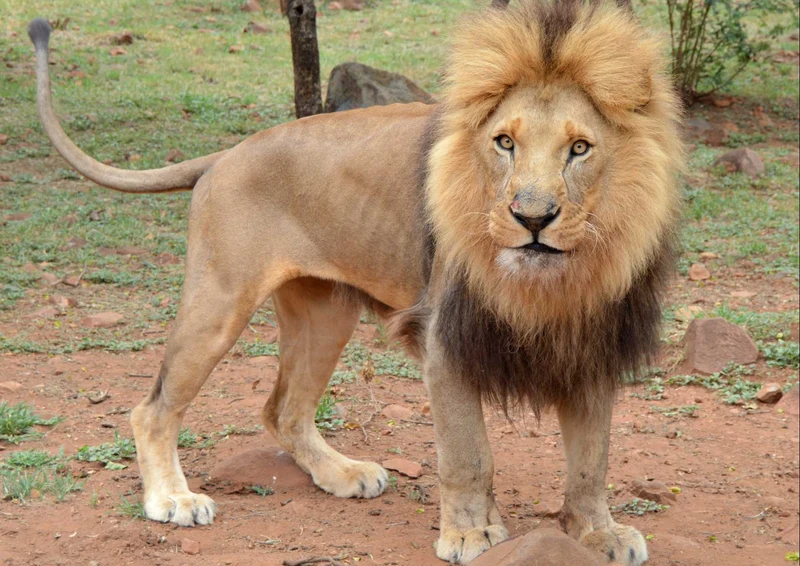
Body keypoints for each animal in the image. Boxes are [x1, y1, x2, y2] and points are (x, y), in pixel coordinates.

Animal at [27, 1, 682, 564]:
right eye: (504, 143)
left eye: (580, 148)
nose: (533, 218)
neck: (557, 282)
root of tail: (226, 154)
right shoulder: (445, 344)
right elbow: (468, 456)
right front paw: (470, 534)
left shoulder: (594, 345)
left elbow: (591, 462)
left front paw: (598, 533)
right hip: (219, 302)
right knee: (153, 409)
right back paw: (172, 499)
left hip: (325, 315)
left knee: (283, 410)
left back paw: (342, 474)